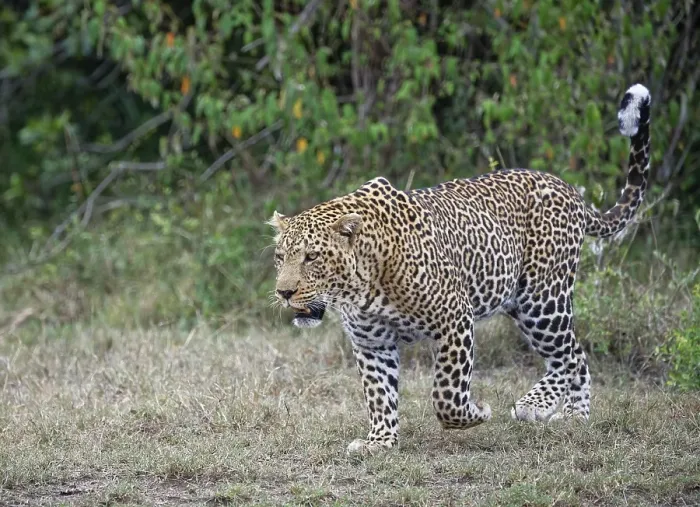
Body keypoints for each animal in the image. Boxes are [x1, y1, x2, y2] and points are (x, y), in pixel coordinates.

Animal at [268, 84, 651, 454]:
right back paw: (555, 412)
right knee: (571, 357)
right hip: (519, 303)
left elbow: (446, 391)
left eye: (312, 257)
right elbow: (379, 395)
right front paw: (380, 442)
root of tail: (572, 192)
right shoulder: (371, 343)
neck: (360, 285)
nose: (284, 292)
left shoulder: (454, 318)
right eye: (280, 257)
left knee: (572, 355)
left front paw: (475, 413)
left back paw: (554, 410)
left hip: (543, 300)